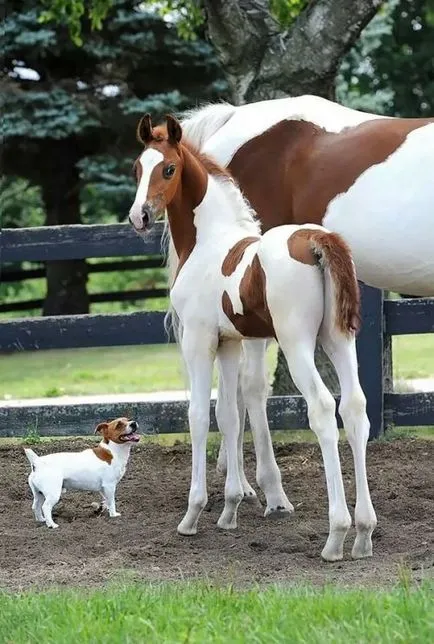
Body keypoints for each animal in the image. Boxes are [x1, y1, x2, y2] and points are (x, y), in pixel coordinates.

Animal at [129, 115, 376, 564]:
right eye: (138, 168)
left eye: (168, 169)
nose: (139, 216)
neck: (209, 244)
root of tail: (317, 240)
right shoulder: (229, 343)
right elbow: (229, 414)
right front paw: (230, 511)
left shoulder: (199, 341)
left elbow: (197, 415)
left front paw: (193, 514)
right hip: (337, 340)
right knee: (354, 410)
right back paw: (364, 534)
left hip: (297, 344)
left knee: (322, 409)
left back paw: (336, 536)